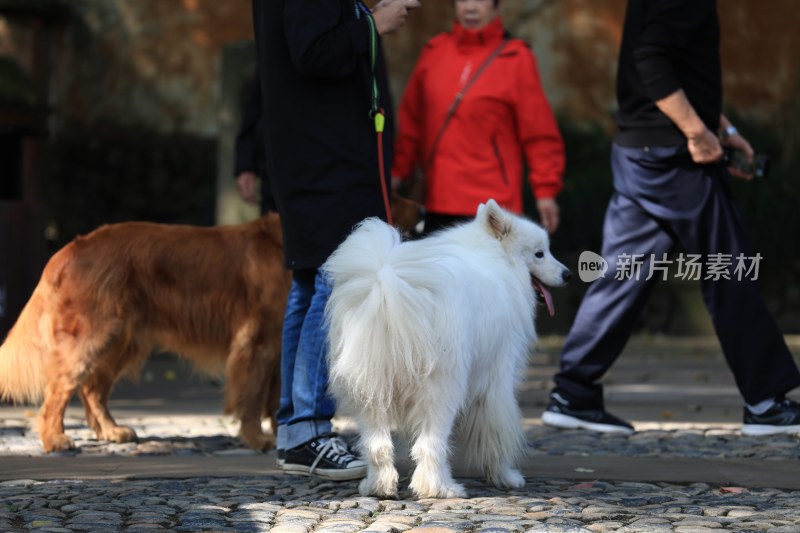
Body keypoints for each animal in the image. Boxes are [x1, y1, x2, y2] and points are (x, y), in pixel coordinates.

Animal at [322, 201, 572, 498]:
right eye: (539, 254)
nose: (568, 275)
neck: (495, 257)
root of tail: (387, 287)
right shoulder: (497, 379)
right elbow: (497, 433)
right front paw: (505, 476)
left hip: (369, 389)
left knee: (378, 445)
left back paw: (378, 486)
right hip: (442, 389)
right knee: (429, 444)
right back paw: (441, 488)